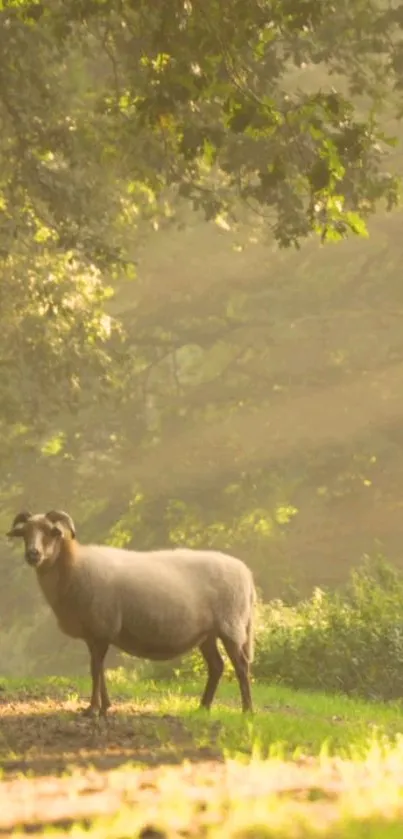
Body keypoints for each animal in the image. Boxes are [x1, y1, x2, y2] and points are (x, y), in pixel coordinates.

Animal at [6, 508, 258, 720]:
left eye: (51, 532)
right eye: (25, 533)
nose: (33, 554)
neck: (73, 565)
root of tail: (246, 573)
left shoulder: (101, 628)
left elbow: (95, 670)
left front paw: (93, 709)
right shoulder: (94, 633)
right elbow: (98, 669)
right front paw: (105, 707)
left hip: (231, 625)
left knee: (241, 666)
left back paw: (247, 710)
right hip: (207, 633)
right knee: (217, 666)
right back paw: (202, 707)